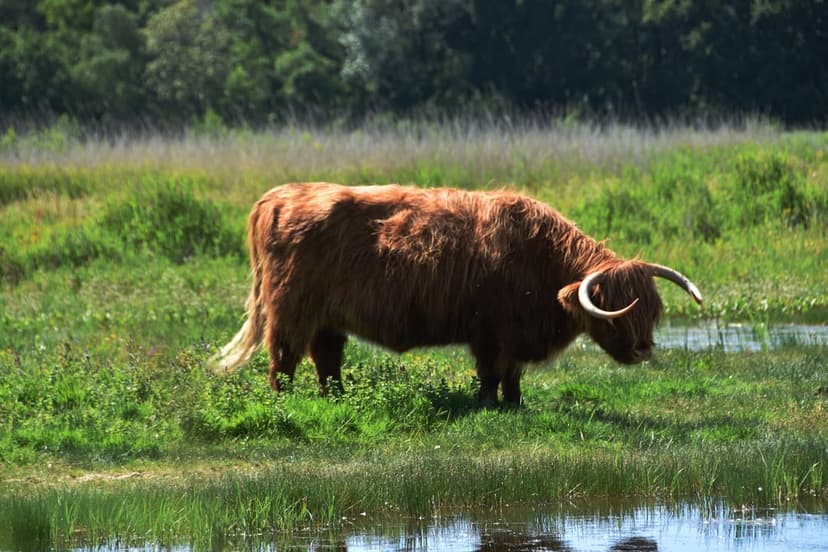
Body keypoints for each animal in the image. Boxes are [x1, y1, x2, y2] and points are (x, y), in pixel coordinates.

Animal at [209, 182, 702, 404]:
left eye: (650, 311)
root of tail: (277, 195)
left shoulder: (514, 333)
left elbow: (512, 374)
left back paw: (338, 398)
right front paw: (487, 406)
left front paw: (514, 406)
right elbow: (490, 373)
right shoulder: (490, 331)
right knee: (284, 357)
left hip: (327, 317)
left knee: (326, 359)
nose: (643, 349)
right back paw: (285, 402)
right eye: (615, 309)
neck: (542, 261)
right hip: (290, 308)